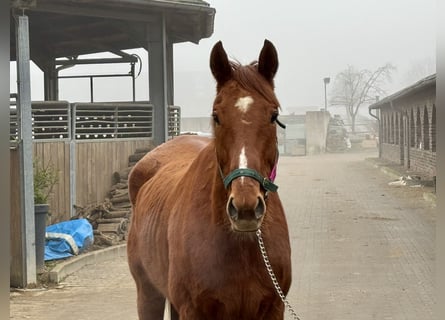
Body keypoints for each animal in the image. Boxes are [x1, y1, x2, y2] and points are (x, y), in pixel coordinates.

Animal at [126, 40, 292, 320]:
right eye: (216, 115)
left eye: (273, 115)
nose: (245, 207)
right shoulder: (193, 310)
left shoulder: (273, 308)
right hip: (148, 294)